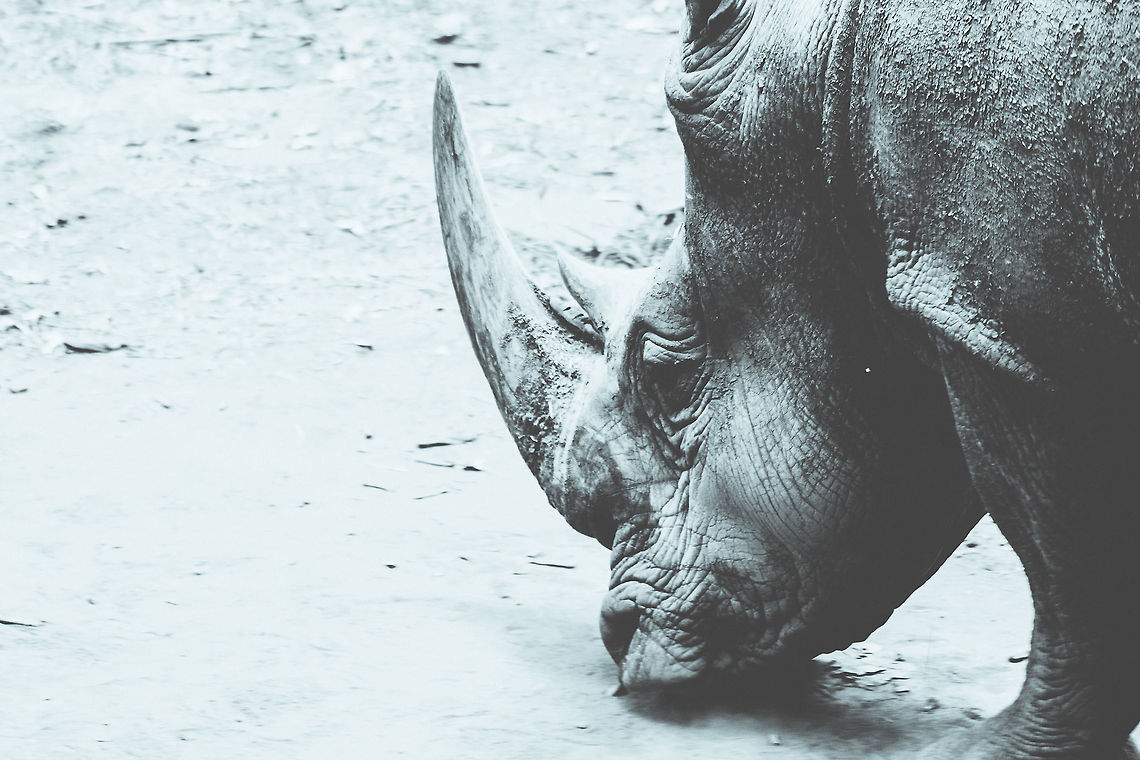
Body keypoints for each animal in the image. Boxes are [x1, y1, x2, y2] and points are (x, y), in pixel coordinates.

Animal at [433, 1, 1140, 757]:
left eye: (666, 374)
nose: (617, 636)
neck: (828, 76)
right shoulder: (999, 302)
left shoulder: (1007, 325)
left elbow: (1067, 561)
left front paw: (986, 750)